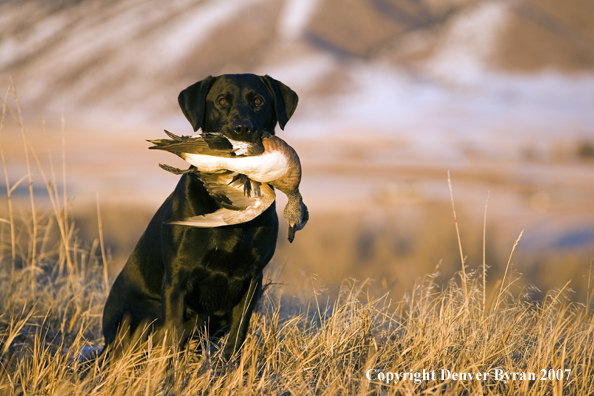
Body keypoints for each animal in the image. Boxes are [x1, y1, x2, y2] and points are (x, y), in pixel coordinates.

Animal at [102, 73, 298, 358]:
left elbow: (238, 335)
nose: (242, 129)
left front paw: (229, 367)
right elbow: (170, 339)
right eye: (222, 101)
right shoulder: (177, 281)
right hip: (145, 317)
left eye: (258, 101)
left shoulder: (253, 279)